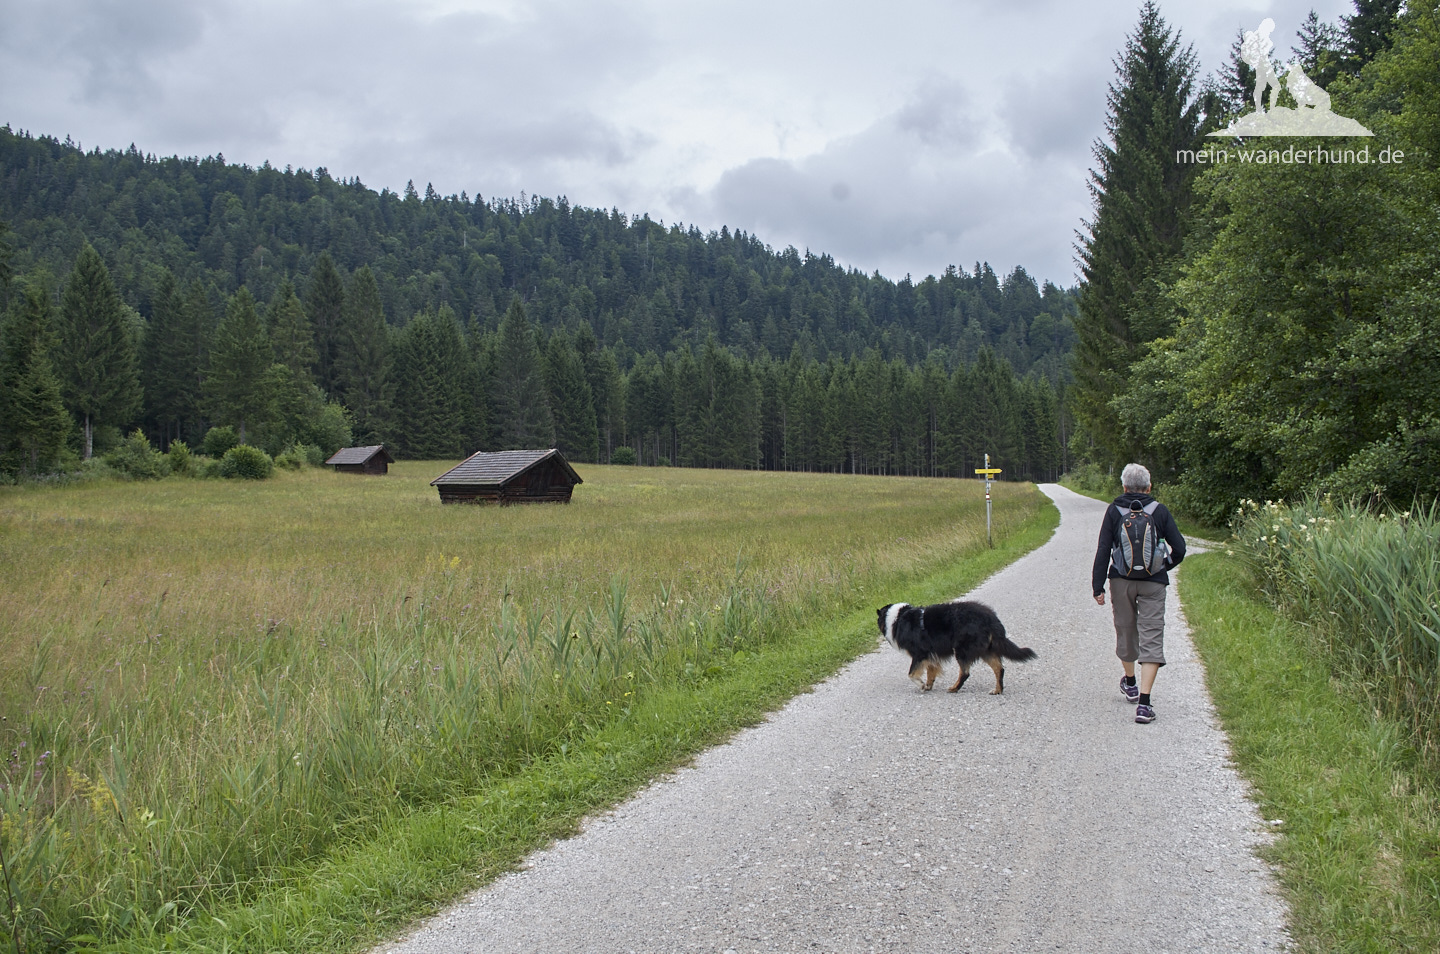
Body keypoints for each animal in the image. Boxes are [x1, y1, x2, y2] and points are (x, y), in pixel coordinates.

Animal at [875, 605, 1036, 694]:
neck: (898, 618)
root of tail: (991, 619)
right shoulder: (931, 655)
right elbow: (931, 672)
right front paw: (928, 686)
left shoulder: (920, 654)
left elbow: (912, 674)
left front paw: (921, 685)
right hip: (985, 650)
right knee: (999, 669)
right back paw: (997, 690)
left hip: (961, 650)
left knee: (965, 673)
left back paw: (954, 688)